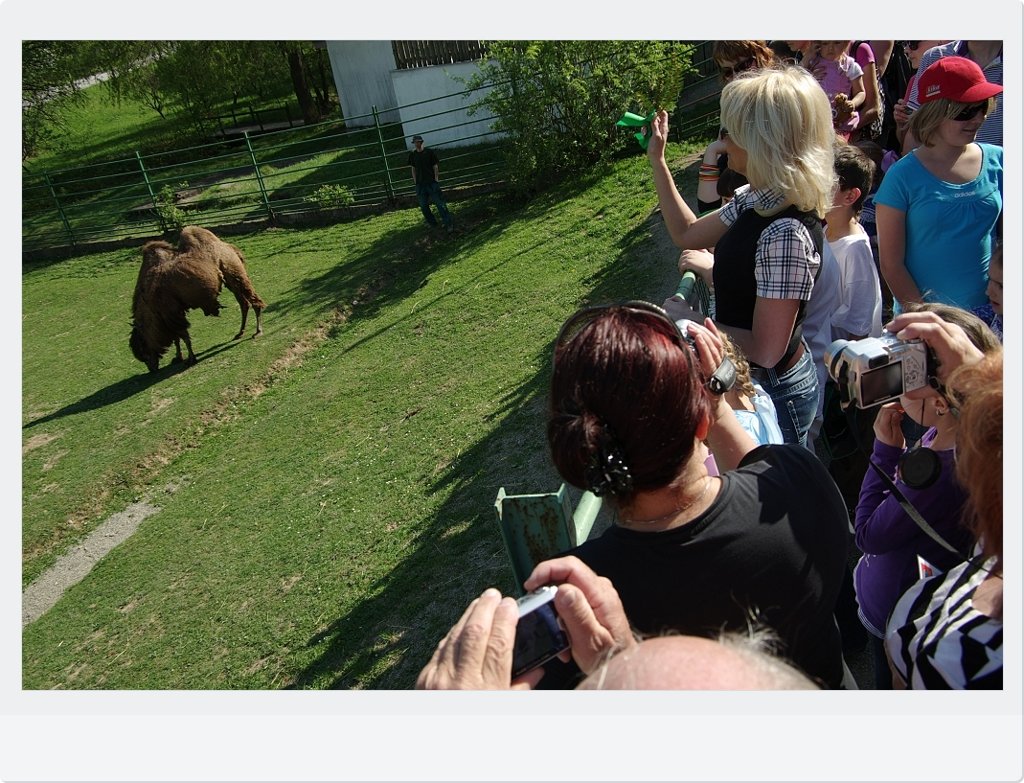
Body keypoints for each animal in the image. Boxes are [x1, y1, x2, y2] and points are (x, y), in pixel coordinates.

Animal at [130, 226, 266, 372]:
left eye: (144, 351)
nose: (152, 368)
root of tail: (229, 247)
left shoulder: (172, 312)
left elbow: (183, 335)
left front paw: (190, 359)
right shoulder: (171, 315)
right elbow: (177, 337)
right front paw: (177, 358)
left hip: (236, 274)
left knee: (254, 301)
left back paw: (258, 332)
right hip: (230, 282)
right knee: (244, 303)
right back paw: (240, 333)